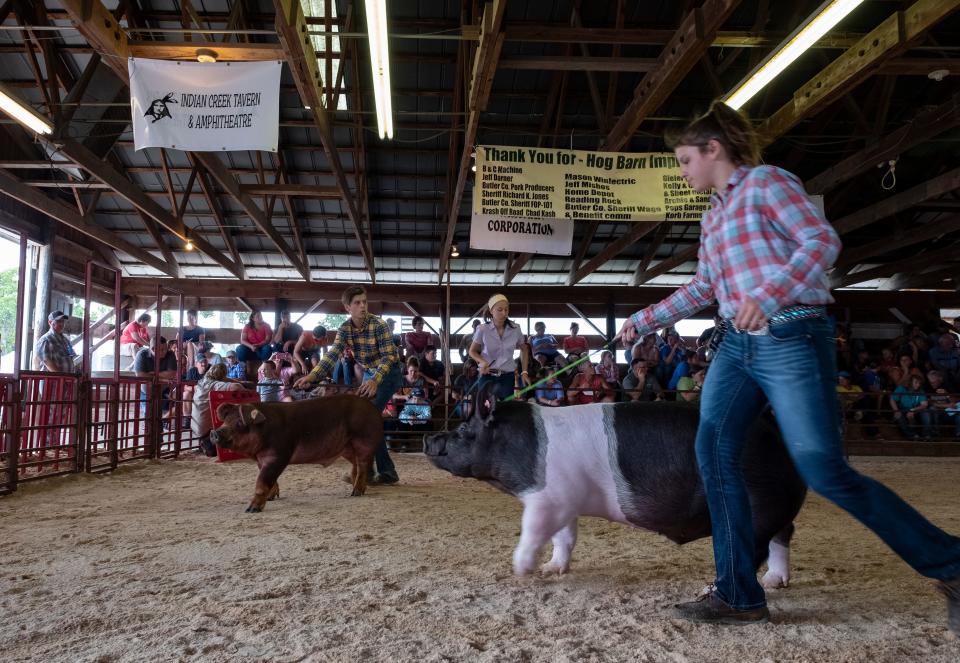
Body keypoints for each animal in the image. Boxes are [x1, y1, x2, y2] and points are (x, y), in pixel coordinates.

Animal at [212, 394, 384, 512]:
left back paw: (356, 493)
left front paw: (251, 510)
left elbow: (262, 481)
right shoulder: (262, 460)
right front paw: (272, 498)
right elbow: (271, 480)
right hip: (346, 447)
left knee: (363, 465)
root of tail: (374, 409)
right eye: (225, 421)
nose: (215, 432)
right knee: (357, 465)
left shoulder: (278, 456)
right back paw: (354, 486)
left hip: (364, 441)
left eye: (239, 423)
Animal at [424, 390, 808, 588]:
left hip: (756, 500)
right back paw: (775, 581)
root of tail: (772, 426)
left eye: (463, 431)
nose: (429, 438)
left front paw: (521, 569)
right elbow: (565, 538)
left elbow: (532, 530)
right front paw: (552, 570)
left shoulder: (546, 498)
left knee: (757, 544)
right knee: (784, 533)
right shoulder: (566, 498)